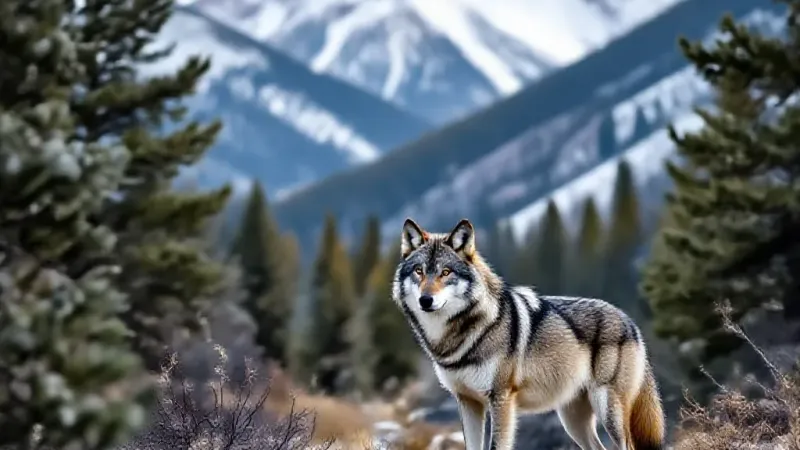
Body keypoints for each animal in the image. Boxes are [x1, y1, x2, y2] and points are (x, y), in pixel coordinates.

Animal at [391, 218, 665, 450]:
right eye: (418, 271)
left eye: (445, 272)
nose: (426, 300)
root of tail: (629, 320)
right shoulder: (467, 402)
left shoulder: (501, 399)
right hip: (573, 421)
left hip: (607, 410)